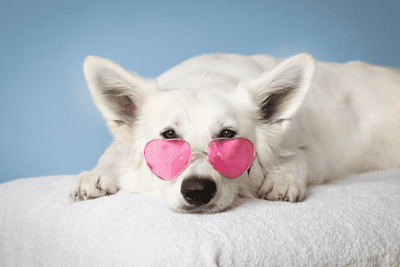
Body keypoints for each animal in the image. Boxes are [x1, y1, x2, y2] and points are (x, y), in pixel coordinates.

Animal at [70, 53, 400, 215]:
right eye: (169, 136)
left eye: (228, 135)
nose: (197, 191)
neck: (205, 76)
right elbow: (112, 154)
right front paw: (95, 175)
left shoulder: (315, 153)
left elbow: (297, 158)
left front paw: (282, 179)